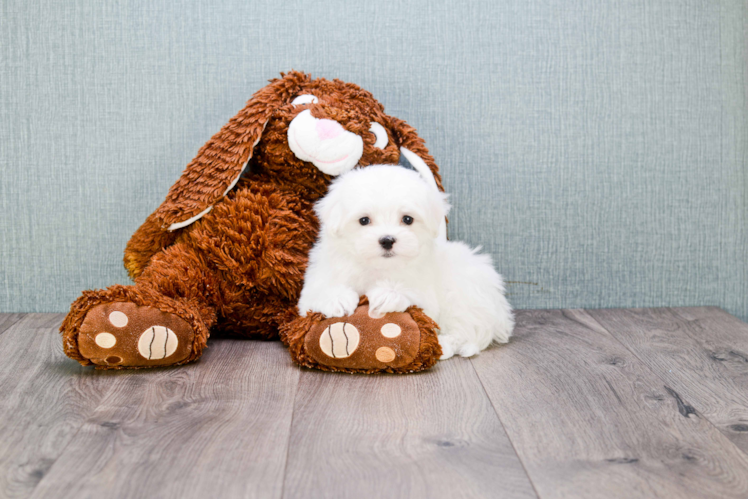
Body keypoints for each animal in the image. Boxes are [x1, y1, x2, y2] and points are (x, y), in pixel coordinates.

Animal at [298, 166, 516, 358]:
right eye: (364, 220)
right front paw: (337, 298)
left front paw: (388, 294)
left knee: (467, 330)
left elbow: (416, 298)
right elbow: (316, 293)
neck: (378, 267)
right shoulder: (317, 281)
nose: (387, 240)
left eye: (408, 219)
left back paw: (444, 345)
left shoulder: (426, 294)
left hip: (466, 294)